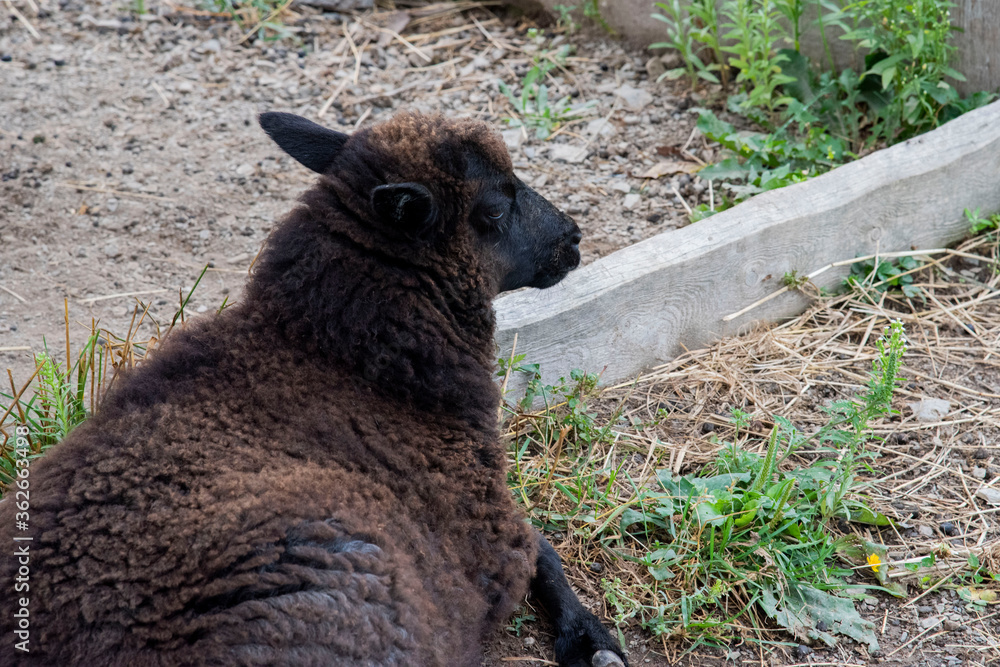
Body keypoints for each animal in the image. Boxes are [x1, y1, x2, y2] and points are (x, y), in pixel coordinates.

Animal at [0, 111, 627, 667]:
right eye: (493, 208)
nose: (573, 238)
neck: (331, 350)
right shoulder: (486, 533)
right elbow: (543, 549)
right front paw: (594, 643)